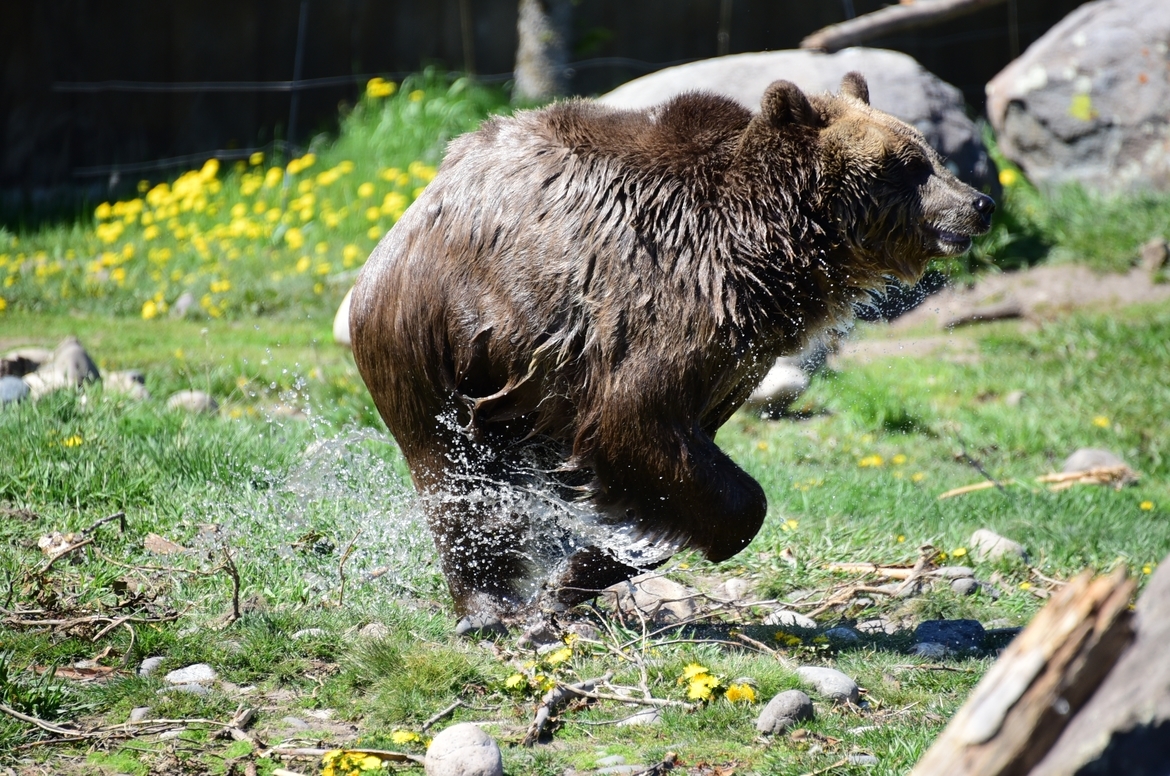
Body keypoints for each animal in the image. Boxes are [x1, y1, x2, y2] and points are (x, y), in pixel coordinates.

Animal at [350, 73, 993, 630]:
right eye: (908, 165)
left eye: (930, 155)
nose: (980, 203)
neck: (766, 256)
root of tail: (424, 197)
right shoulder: (652, 305)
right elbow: (637, 423)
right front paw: (579, 574)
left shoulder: (733, 360)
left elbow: (665, 477)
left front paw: (584, 569)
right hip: (440, 338)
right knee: (457, 477)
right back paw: (487, 608)